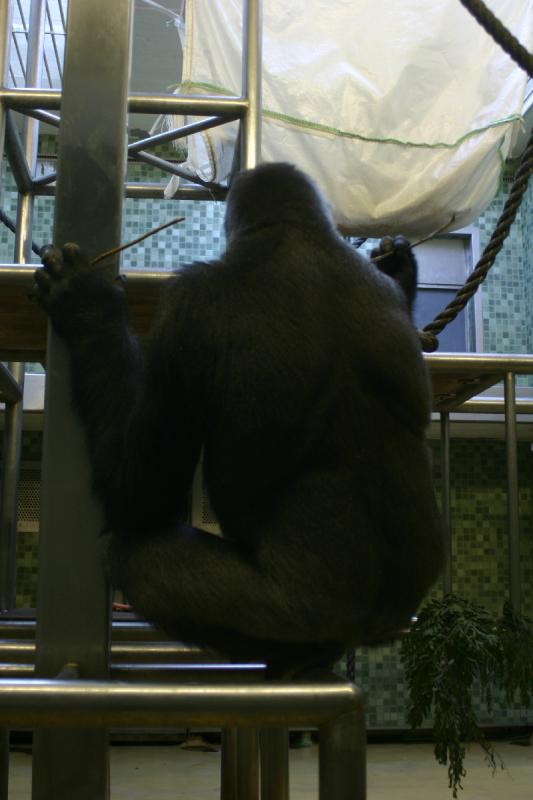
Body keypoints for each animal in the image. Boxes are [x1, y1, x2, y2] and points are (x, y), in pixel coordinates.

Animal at [35, 161, 442, 676]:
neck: (296, 234)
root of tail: (369, 629)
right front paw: (399, 263)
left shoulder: (186, 306)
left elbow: (140, 494)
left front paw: (88, 305)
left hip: (299, 612)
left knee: (133, 557)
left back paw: (295, 659)